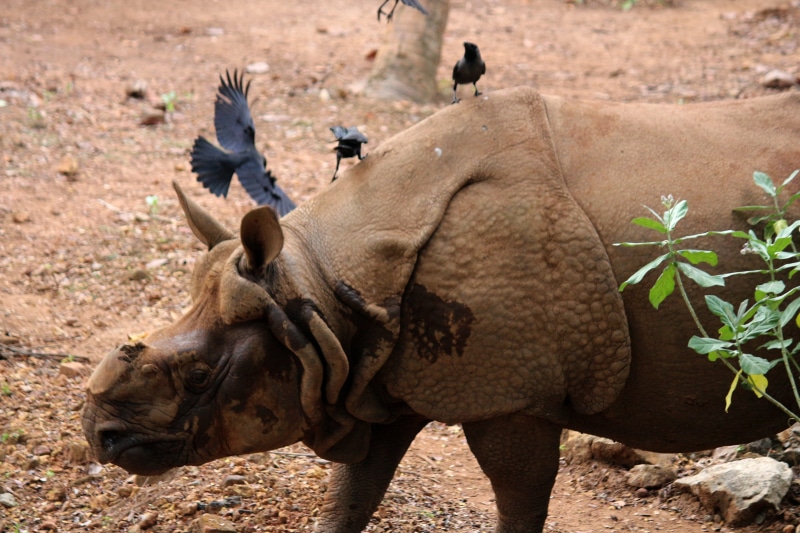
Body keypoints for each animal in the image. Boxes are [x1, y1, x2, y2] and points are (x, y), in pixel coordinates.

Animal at [82, 87, 800, 532]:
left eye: (200, 377)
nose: (99, 436)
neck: (317, 280)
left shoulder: (510, 393)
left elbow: (519, 503)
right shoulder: (364, 366)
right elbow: (351, 496)